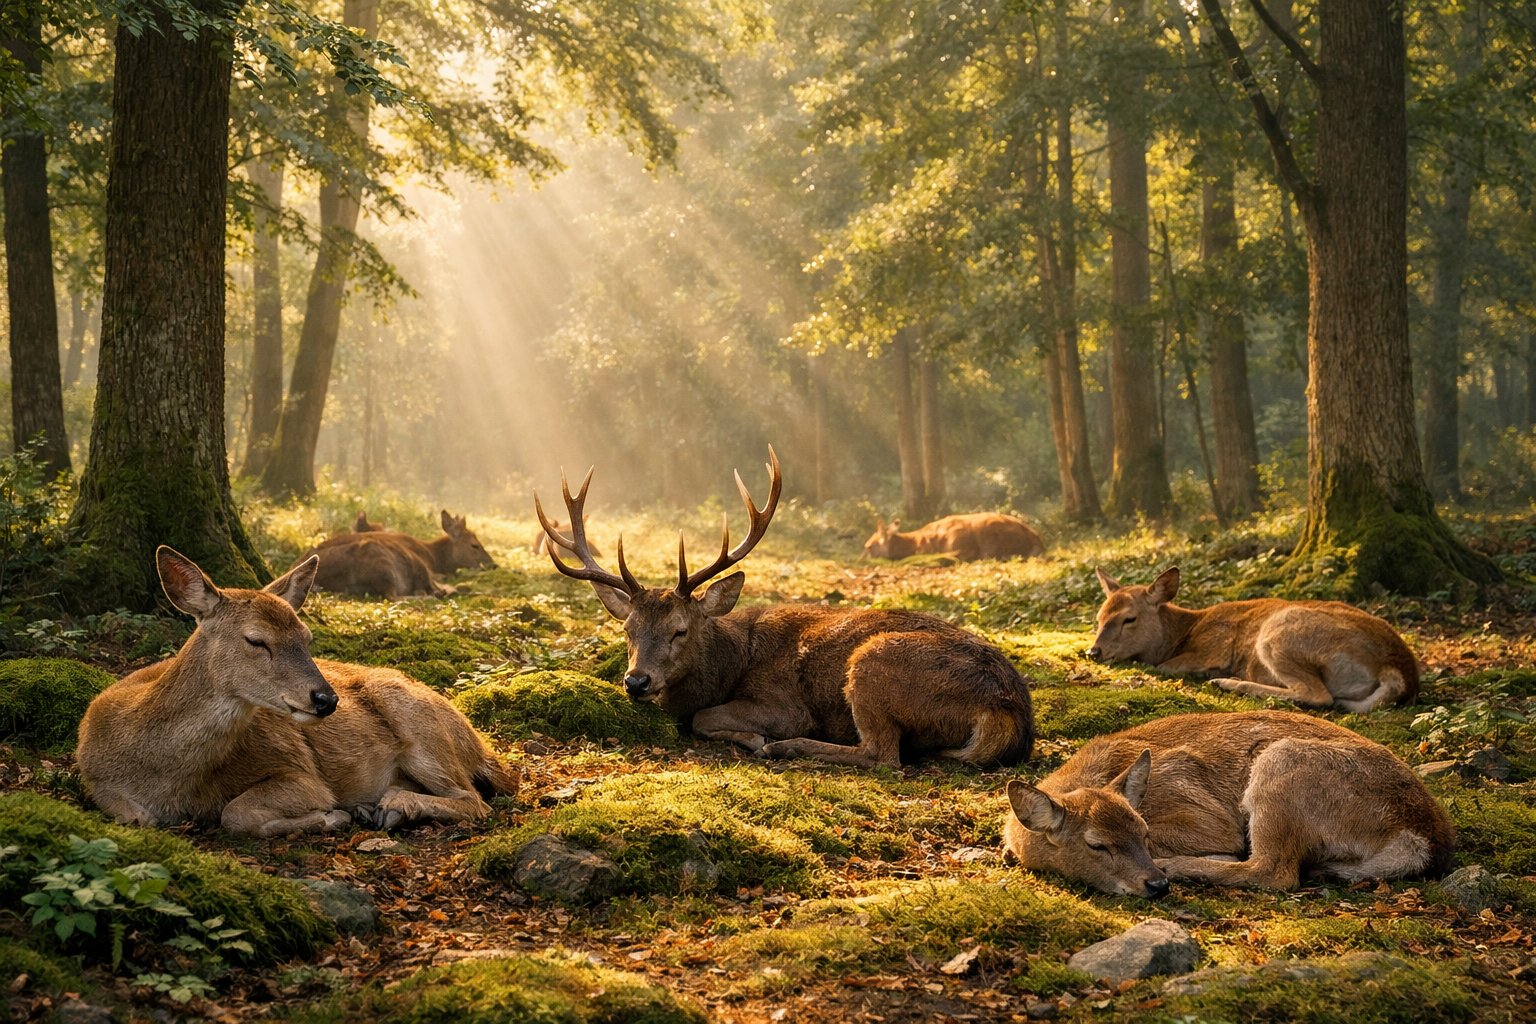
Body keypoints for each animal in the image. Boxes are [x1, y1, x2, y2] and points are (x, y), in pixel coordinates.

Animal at [75, 547, 518, 837]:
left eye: (306, 638)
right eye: (256, 640)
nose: (326, 699)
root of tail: (478, 744)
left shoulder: (301, 773)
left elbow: (235, 813)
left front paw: (332, 817)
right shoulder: (94, 776)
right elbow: (136, 817)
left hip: (422, 727)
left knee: (474, 799)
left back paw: (393, 807)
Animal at [1003, 710, 1454, 895]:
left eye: (1143, 833)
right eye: (1096, 845)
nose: (1155, 885)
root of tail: (1422, 836)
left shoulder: (1205, 815)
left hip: (1280, 763)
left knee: (1275, 871)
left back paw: (1182, 867)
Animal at [1087, 566, 1419, 713]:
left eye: (1129, 618)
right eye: (1099, 616)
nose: (1094, 651)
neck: (1183, 632)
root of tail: (1397, 670)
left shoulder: (1214, 647)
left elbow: (1166, 666)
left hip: (1279, 632)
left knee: (1317, 694)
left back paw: (1227, 682)